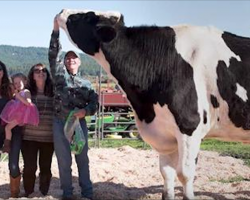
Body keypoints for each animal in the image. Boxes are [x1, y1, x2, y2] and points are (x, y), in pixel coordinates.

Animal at [56, 9, 250, 200]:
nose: (62, 11)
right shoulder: (164, 133)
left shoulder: (190, 127)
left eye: (86, 16)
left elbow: (185, 174)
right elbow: (166, 173)